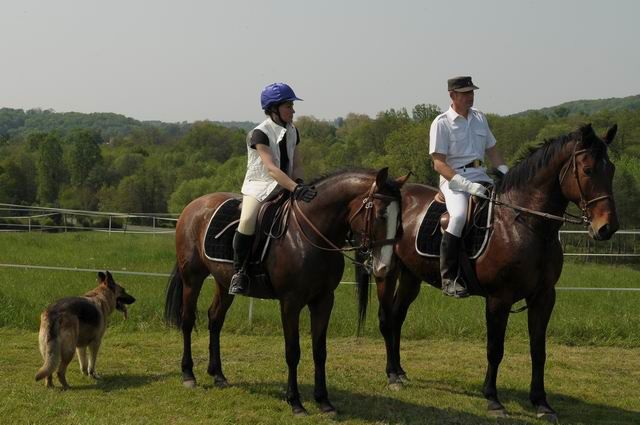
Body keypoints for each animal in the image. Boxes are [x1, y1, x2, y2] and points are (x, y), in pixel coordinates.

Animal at [164, 166, 404, 414]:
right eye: (381, 214)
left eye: (399, 219)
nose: (385, 267)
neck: (309, 234)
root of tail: (194, 205)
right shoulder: (290, 302)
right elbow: (292, 351)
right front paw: (295, 402)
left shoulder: (324, 300)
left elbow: (320, 351)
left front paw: (324, 401)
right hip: (192, 278)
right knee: (187, 320)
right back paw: (188, 374)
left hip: (223, 283)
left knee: (215, 319)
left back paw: (218, 375)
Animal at [358, 123, 616, 420]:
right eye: (587, 170)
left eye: (611, 170)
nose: (607, 227)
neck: (525, 224)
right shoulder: (498, 299)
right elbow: (495, 349)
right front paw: (493, 399)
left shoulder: (544, 298)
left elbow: (538, 350)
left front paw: (541, 403)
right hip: (386, 272)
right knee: (386, 318)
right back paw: (391, 376)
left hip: (412, 277)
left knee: (397, 317)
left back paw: (400, 372)